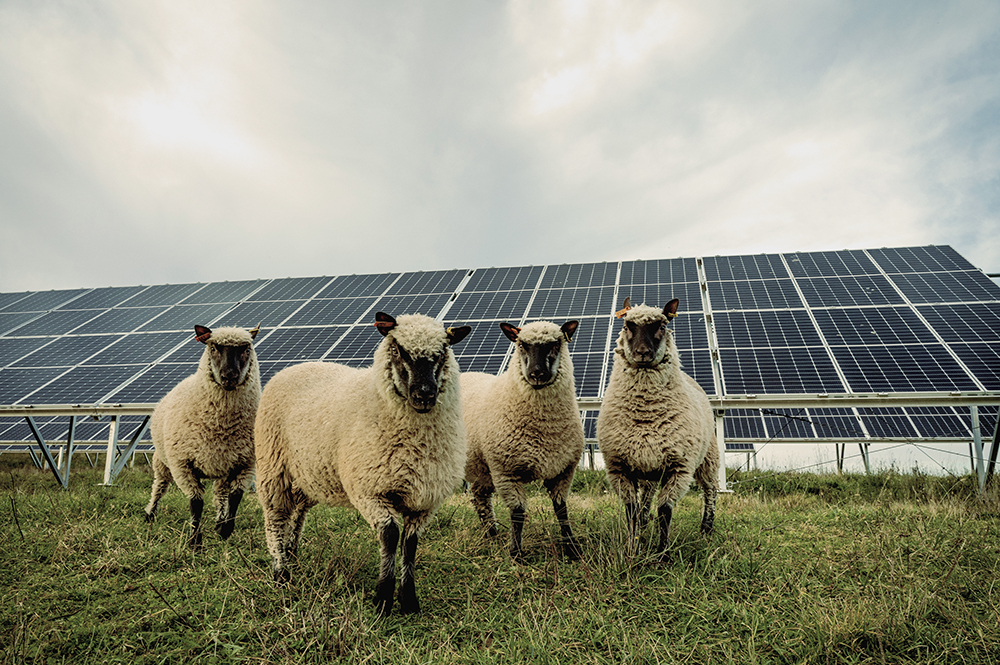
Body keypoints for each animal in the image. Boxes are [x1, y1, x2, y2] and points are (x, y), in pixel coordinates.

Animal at [145, 320, 264, 544]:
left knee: (220, 493)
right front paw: (194, 541)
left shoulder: (245, 464)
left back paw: (219, 521)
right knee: (160, 485)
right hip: (162, 461)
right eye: (213, 347)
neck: (222, 426)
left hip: (223, 465)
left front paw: (225, 530)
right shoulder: (183, 465)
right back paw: (150, 514)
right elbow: (196, 502)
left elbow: (235, 498)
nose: (229, 376)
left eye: (246, 349)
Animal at [258, 314, 476, 616]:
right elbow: (391, 536)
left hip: (307, 475)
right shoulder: (370, 491)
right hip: (273, 467)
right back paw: (281, 572)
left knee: (298, 512)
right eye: (397, 349)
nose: (425, 395)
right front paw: (383, 599)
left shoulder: (425, 500)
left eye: (443, 352)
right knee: (276, 517)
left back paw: (292, 554)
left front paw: (409, 601)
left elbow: (410, 544)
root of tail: (295, 367)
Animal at [460, 320, 584, 556]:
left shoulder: (563, 470)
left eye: (556, 344)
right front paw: (516, 553)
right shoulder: (506, 472)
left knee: (479, 496)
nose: (537, 374)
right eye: (521, 345)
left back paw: (491, 533)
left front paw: (572, 547)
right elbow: (517, 513)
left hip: (482, 466)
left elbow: (561, 509)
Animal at [592, 298, 720, 564]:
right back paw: (643, 526)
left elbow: (664, 511)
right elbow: (631, 511)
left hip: (708, 458)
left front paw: (663, 554)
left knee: (710, 491)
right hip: (648, 468)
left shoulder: (679, 469)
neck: (646, 414)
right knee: (646, 498)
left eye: (662, 326)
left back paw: (707, 529)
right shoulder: (620, 469)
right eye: (627, 325)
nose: (643, 353)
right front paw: (632, 550)